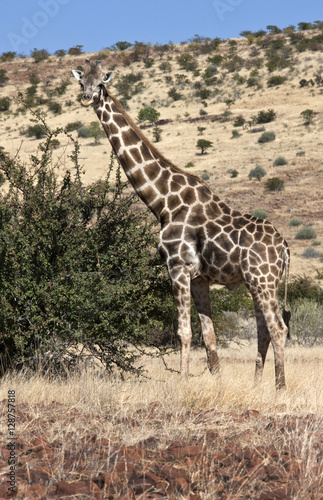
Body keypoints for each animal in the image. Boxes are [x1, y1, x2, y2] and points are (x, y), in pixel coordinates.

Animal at [73, 60, 292, 390]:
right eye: (81, 82)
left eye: (101, 83)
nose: (87, 98)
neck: (163, 202)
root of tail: (285, 249)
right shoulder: (200, 277)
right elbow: (209, 336)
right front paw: (216, 384)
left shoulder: (176, 267)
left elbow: (184, 332)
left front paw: (183, 383)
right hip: (260, 283)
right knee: (264, 329)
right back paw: (257, 385)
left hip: (262, 280)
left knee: (278, 328)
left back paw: (280, 389)